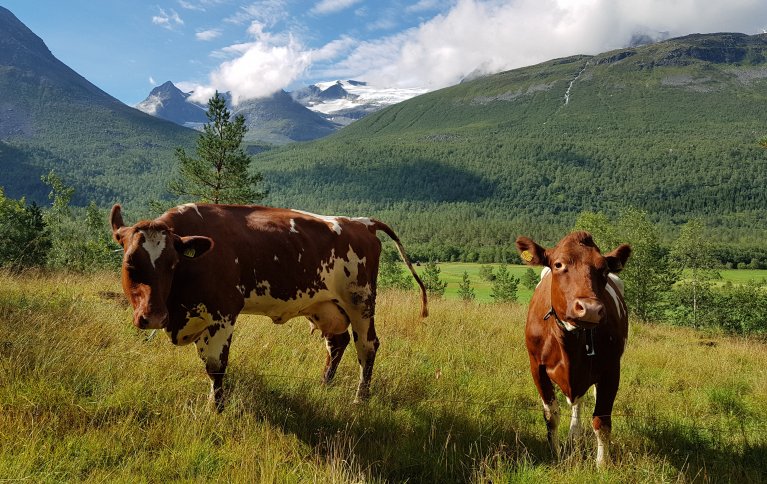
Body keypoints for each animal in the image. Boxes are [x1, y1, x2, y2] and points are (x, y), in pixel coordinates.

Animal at [111, 202, 428, 410]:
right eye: (130, 264)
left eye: (173, 264)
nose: (153, 317)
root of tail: (362, 222)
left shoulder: (223, 313)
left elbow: (215, 366)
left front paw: (217, 408)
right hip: (326, 306)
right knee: (337, 342)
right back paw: (325, 385)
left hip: (360, 302)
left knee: (367, 346)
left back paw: (360, 398)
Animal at [516, 233, 632, 466]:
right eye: (558, 264)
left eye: (604, 269)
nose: (590, 309)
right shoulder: (536, 367)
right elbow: (551, 415)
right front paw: (556, 455)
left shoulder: (611, 370)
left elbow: (601, 421)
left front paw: (601, 464)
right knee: (576, 403)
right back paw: (573, 433)